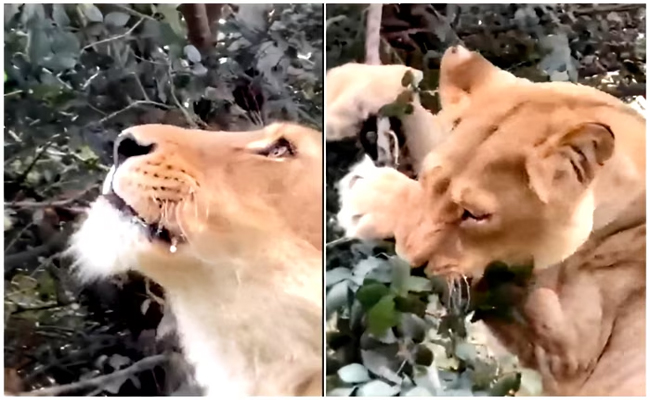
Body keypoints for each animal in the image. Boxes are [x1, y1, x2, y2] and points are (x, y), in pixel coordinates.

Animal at [336, 46, 645, 396]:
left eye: (475, 215)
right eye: (428, 180)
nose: (410, 263)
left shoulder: (570, 359)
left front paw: (371, 195)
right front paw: (352, 86)